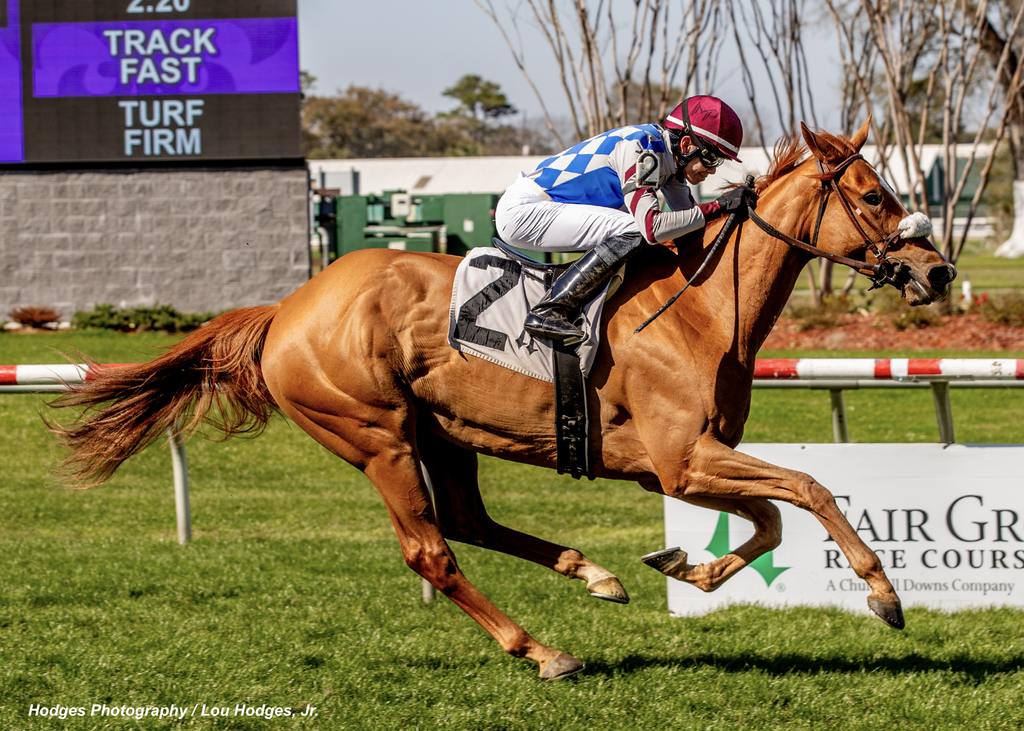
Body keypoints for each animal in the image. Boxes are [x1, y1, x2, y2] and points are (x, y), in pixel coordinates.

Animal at [54, 120, 950, 675]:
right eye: (875, 196)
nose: (936, 270)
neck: (700, 309)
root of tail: (288, 308)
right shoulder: (681, 460)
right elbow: (809, 488)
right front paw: (883, 592)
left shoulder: (683, 462)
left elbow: (770, 517)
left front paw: (687, 567)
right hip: (376, 437)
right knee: (431, 549)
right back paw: (542, 649)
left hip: (443, 433)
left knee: (467, 521)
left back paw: (594, 574)